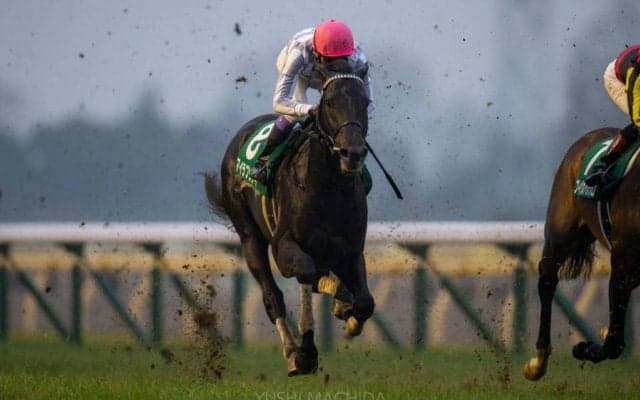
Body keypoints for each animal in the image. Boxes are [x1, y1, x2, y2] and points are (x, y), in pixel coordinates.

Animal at [203, 58, 374, 376]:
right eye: (329, 102)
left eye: (365, 102)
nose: (353, 153)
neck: (329, 187)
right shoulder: (283, 246)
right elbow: (306, 274)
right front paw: (307, 349)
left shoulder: (352, 250)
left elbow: (365, 302)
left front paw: (350, 315)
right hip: (249, 235)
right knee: (273, 295)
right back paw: (294, 350)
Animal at [523, 126, 640, 380]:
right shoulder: (623, 266)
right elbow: (614, 344)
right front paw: (583, 347)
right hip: (562, 233)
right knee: (547, 280)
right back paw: (538, 362)